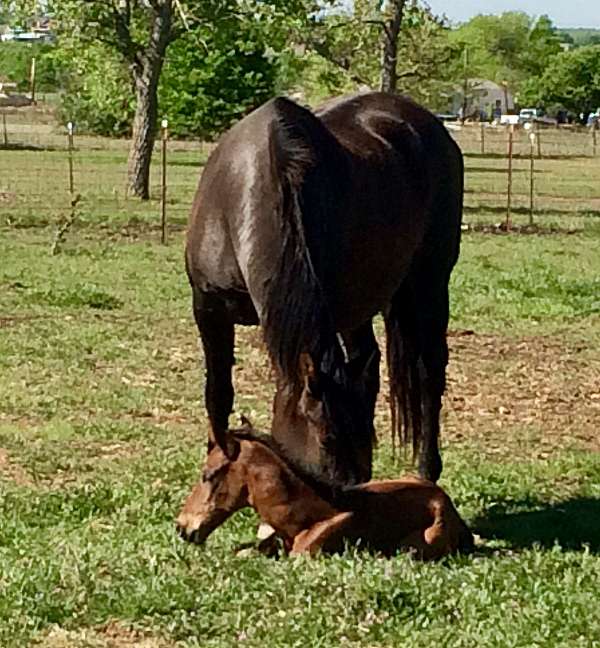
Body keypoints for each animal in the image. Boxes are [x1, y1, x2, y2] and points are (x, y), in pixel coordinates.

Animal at [185, 90, 462, 486]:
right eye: (328, 440)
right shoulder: (208, 309)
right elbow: (218, 394)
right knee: (371, 360)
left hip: (430, 283)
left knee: (429, 372)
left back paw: (427, 471)